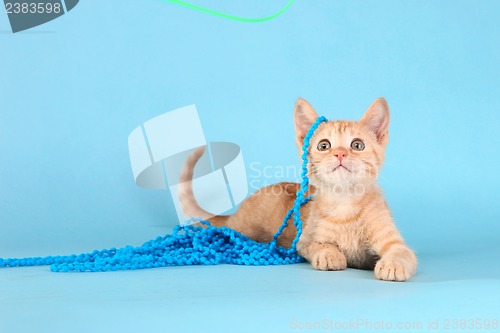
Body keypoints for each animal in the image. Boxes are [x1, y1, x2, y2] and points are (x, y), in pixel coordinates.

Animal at [180, 98, 418, 280]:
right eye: (324, 145)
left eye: (357, 145)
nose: (340, 153)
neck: (345, 204)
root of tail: (236, 213)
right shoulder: (304, 241)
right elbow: (319, 245)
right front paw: (330, 254)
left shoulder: (393, 241)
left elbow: (402, 252)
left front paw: (393, 264)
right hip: (243, 229)